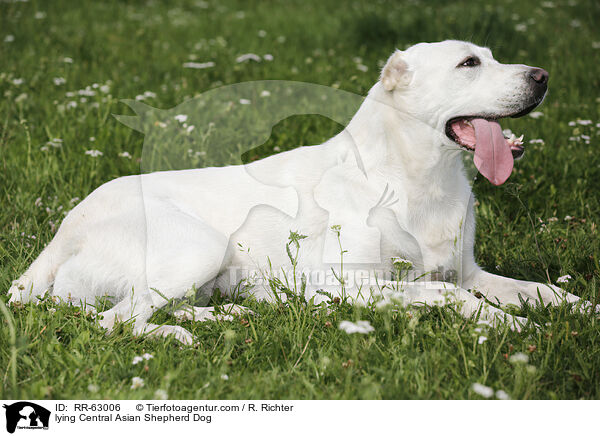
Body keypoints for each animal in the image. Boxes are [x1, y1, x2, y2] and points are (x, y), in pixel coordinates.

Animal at [7, 41, 584, 344]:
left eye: (491, 56)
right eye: (469, 64)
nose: (543, 76)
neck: (420, 177)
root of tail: (64, 228)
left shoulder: (469, 271)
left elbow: (535, 289)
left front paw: (577, 308)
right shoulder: (346, 286)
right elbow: (450, 296)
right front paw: (502, 320)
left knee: (143, 307)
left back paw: (225, 316)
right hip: (200, 245)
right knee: (116, 320)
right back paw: (181, 336)